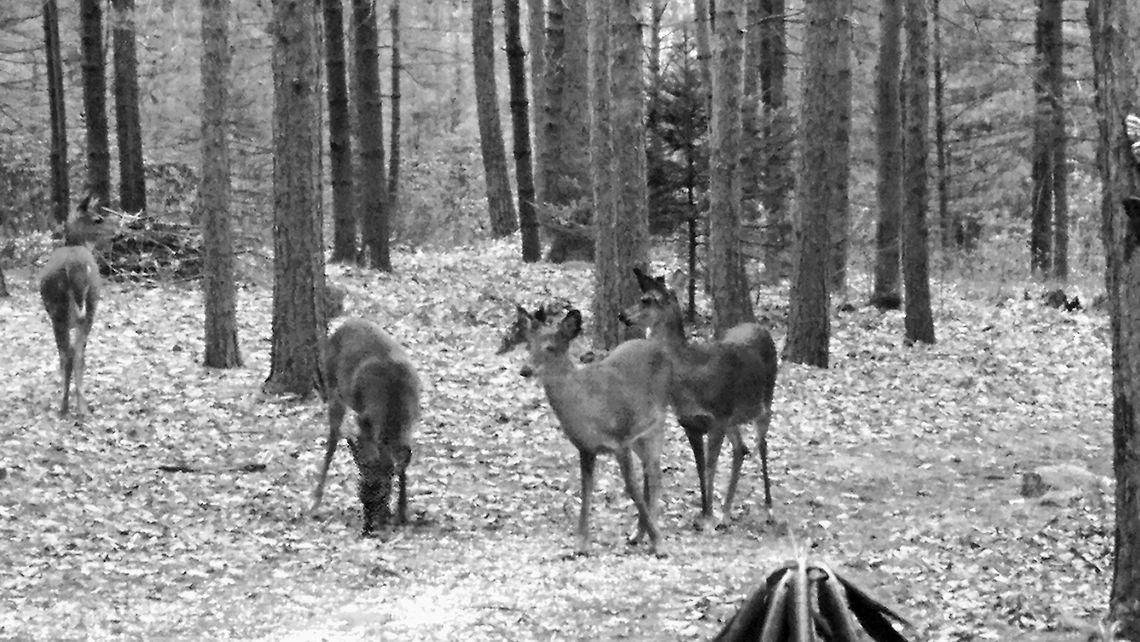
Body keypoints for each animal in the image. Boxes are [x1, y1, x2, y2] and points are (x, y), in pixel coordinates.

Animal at [38, 195, 112, 419]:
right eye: (97, 219)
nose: (116, 231)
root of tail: (76, 267)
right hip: (89, 306)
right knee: (77, 353)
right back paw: (80, 407)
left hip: (58, 310)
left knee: (69, 354)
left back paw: (65, 406)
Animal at [311, 319, 421, 536]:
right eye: (359, 490)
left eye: (383, 492)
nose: (367, 528)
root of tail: (343, 324)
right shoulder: (365, 418)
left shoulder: (411, 421)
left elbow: (403, 461)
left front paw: (402, 512)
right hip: (334, 388)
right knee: (332, 441)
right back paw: (316, 502)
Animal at [514, 306, 673, 556]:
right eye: (529, 345)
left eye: (550, 347)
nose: (525, 370)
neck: (588, 408)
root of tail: (657, 347)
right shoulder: (585, 447)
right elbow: (586, 491)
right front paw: (581, 544)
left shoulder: (620, 439)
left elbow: (631, 488)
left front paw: (659, 543)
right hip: (639, 436)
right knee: (650, 474)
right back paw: (638, 534)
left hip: (657, 421)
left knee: (655, 475)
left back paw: (650, 535)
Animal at [620, 268, 778, 529]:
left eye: (647, 299)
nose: (622, 314)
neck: (691, 375)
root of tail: (761, 328)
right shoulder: (690, 423)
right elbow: (700, 468)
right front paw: (705, 513)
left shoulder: (718, 417)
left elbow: (711, 467)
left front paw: (708, 517)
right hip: (733, 418)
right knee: (741, 448)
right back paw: (726, 513)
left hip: (764, 401)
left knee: (761, 445)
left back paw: (768, 508)